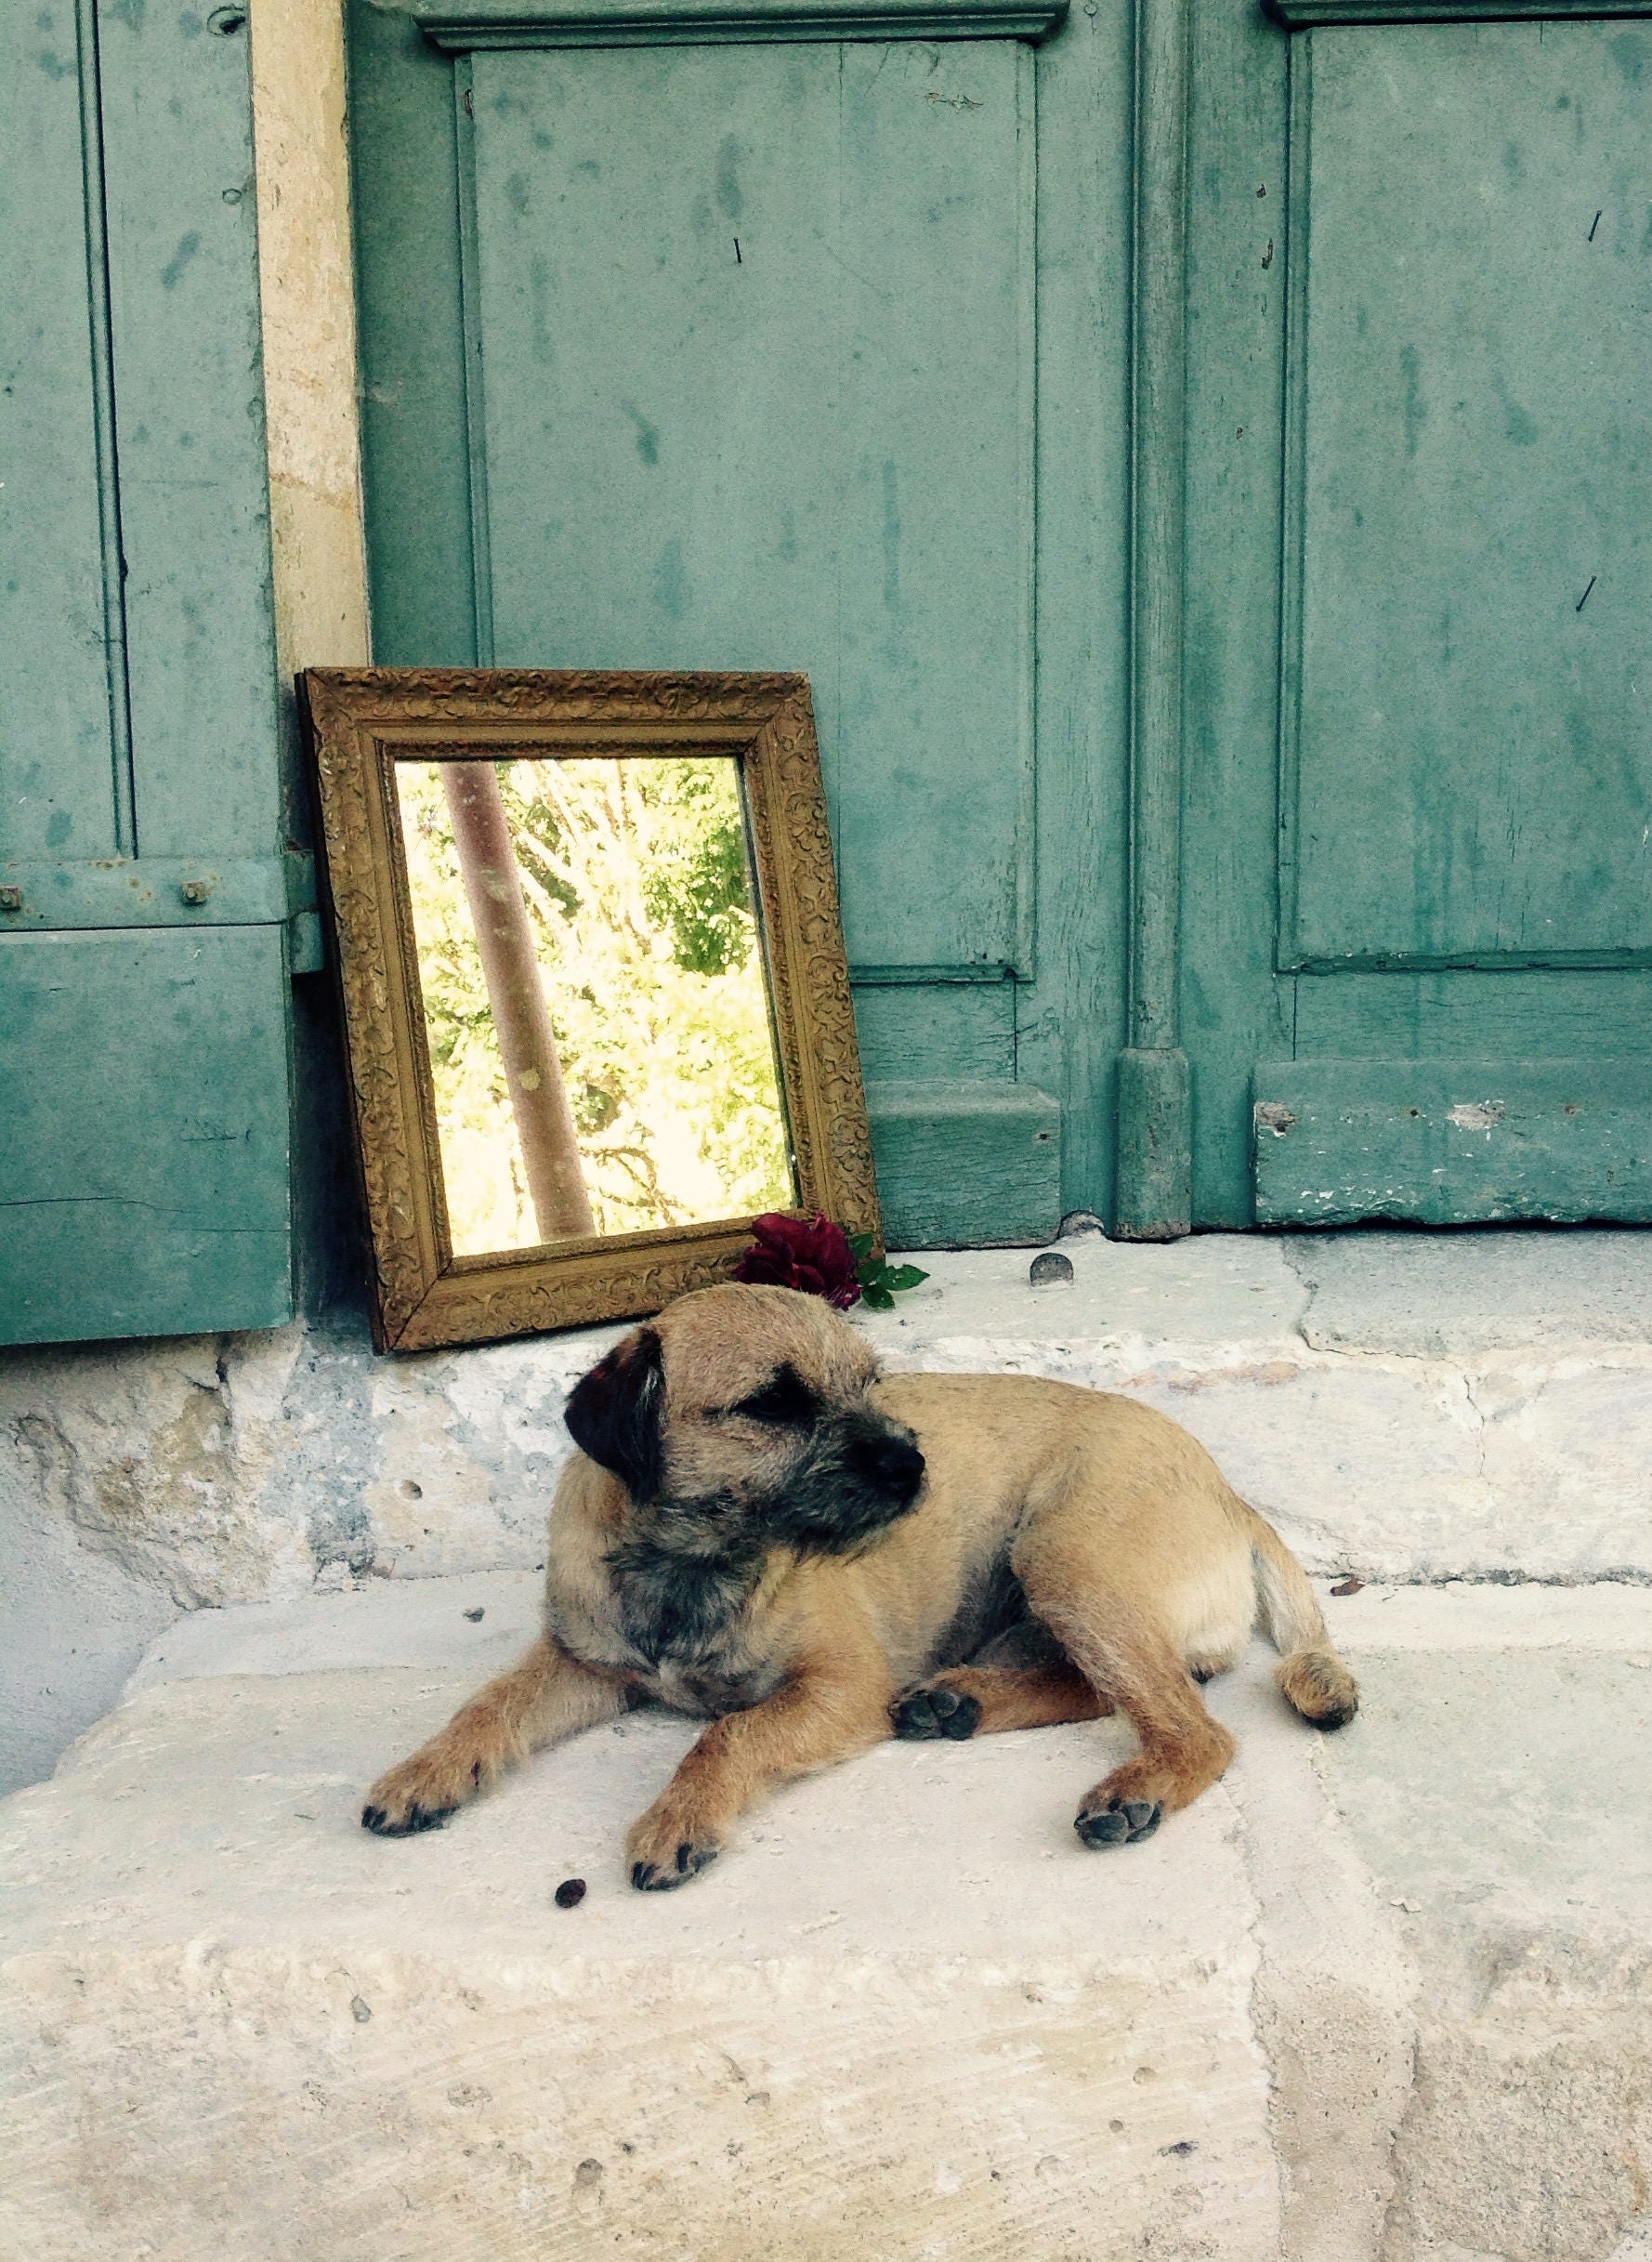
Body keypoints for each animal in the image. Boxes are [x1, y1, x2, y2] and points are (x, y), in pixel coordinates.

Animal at [360, 1284, 1348, 1882]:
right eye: (772, 1404)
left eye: (872, 1384)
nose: (914, 1466)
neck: (693, 1563)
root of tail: (1233, 1498)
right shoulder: (583, 1663)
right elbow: (487, 1707)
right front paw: (423, 1773)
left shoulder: (840, 1688)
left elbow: (726, 1735)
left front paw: (680, 1819)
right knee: (1108, 1686)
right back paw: (960, 1704)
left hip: (1066, 1558)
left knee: (1192, 1724)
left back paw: (1131, 1787)